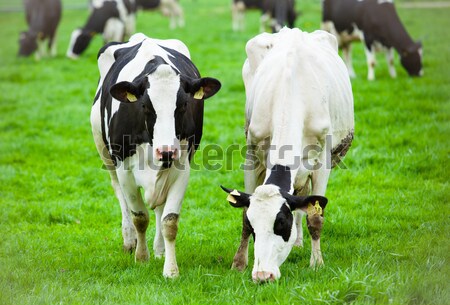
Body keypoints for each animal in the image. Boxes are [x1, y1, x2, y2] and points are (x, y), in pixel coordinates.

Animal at [90, 32, 221, 276]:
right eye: (145, 107)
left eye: (183, 105)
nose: (166, 150)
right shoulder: (124, 169)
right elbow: (139, 217)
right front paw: (141, 258)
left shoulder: (181, 168)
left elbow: (169, 221)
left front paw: (170, 269)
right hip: (104, 151)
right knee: (119, 195)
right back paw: (129, 241)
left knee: (159, 208)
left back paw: (159, 250)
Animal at [221, 27, 356, 282]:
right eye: (255, 227)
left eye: (281, 224)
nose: (263, 275)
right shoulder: (252, 154)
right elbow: (243, 214)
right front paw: (239, 262)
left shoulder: (323, 163)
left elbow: (315, 216)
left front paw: (317, 263)